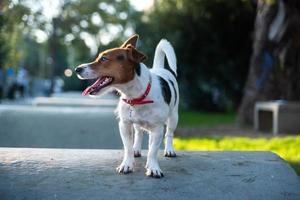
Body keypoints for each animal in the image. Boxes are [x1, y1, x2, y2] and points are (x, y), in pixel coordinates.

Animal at [74, 34, 178, 178]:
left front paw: (153, 167)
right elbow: (128, 148)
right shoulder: (124, 125)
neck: (136, 97)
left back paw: (169, 149)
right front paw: (127, 164)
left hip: (173, 117)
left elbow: (152, 151)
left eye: (104, 59)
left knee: (169, 134)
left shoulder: (157, 129)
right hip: (137, 124)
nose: (77, 69)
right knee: (139, 133)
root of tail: (160, 68)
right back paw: (137, 149)